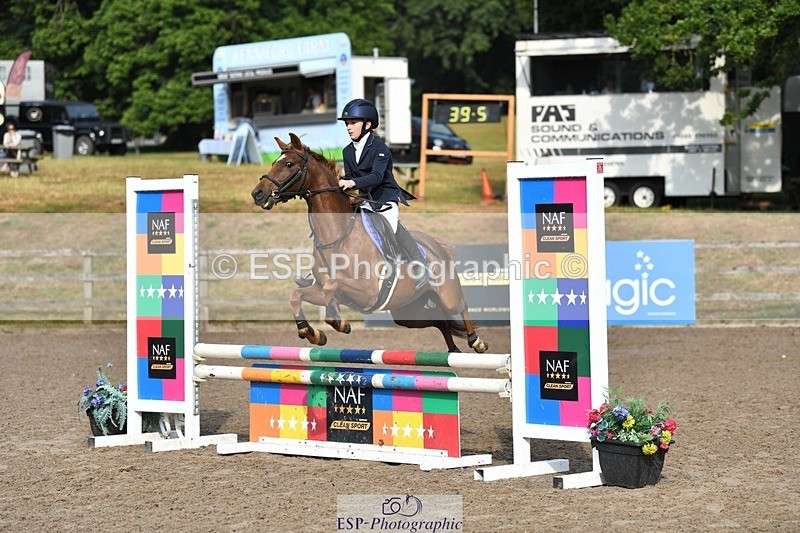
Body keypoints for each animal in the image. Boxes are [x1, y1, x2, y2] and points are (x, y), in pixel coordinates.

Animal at [250, 133, 488, 354]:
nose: (258, 194)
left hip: (447, 295)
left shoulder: (368, 290)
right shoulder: (320, 289)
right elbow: (297, 295)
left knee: (461, 306)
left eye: (289, 164)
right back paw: (453, 349)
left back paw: (476, 341)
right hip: (408, 311)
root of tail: (437, 245)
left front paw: (340, 323)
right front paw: (312, 333)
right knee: (440, 320)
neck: (337, 236)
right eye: (273, 162)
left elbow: (332, 286)